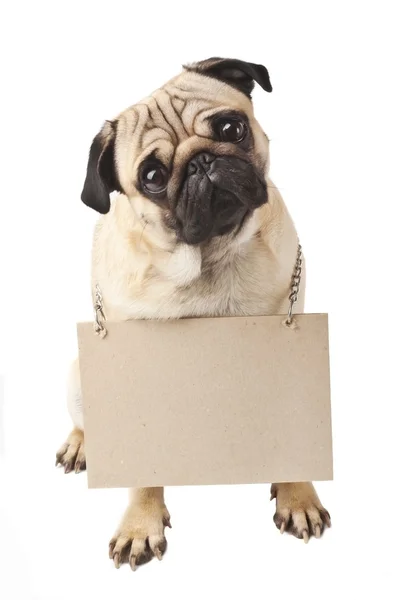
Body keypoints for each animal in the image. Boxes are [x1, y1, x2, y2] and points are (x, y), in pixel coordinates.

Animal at [56, 58, 332, 568]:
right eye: (151, 176)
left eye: (231, 128)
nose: (202, 162)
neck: (211, 259)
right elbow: (141, 471)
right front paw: (140, 524)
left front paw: (297, 495)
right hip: (79, 377)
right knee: (87, 421)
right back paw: (80, 445)